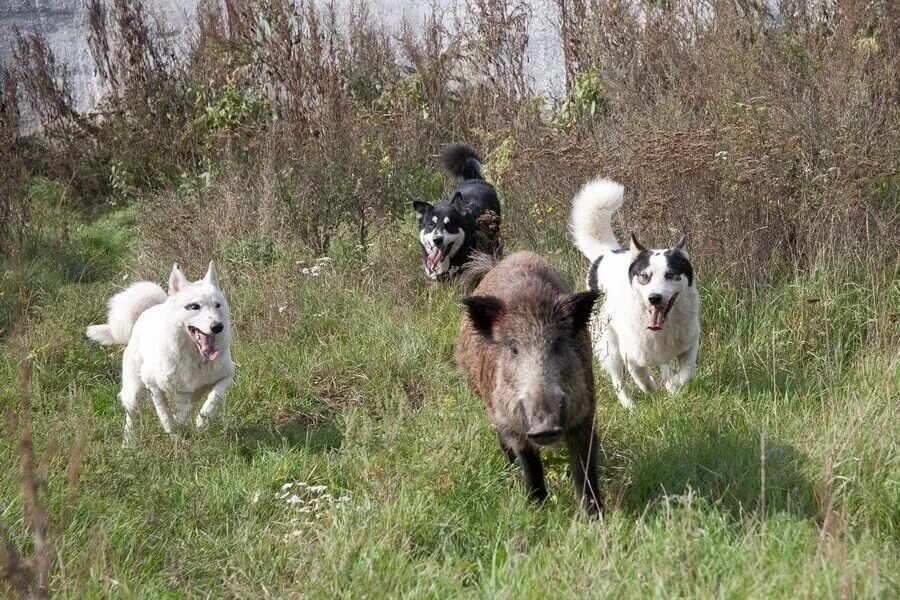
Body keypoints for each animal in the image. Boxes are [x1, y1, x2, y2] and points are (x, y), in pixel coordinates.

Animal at [86, 262, 234, 440]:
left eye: (217, 305)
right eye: (194, 306)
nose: (218, 327)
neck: (193, 358)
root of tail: (150, 309)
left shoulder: (226, 375)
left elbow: (216, 396)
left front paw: (204, 418)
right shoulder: (153, 385)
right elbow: (164, 412)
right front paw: (172, 431)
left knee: (187, 408)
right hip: (135, 390)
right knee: (131, 416)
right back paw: (129, 441)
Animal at [568, 178, 704, 410]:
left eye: (670, 274)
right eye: (644, 276)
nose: (654, 298)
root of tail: (605, 254)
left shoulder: (689, 343)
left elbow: (687, 372)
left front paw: (674, 387)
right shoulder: (629, 353)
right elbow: (641, 376)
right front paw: (652, 389)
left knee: (663, 364)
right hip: (609, 345)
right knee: (618, 380)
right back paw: (630, 406)